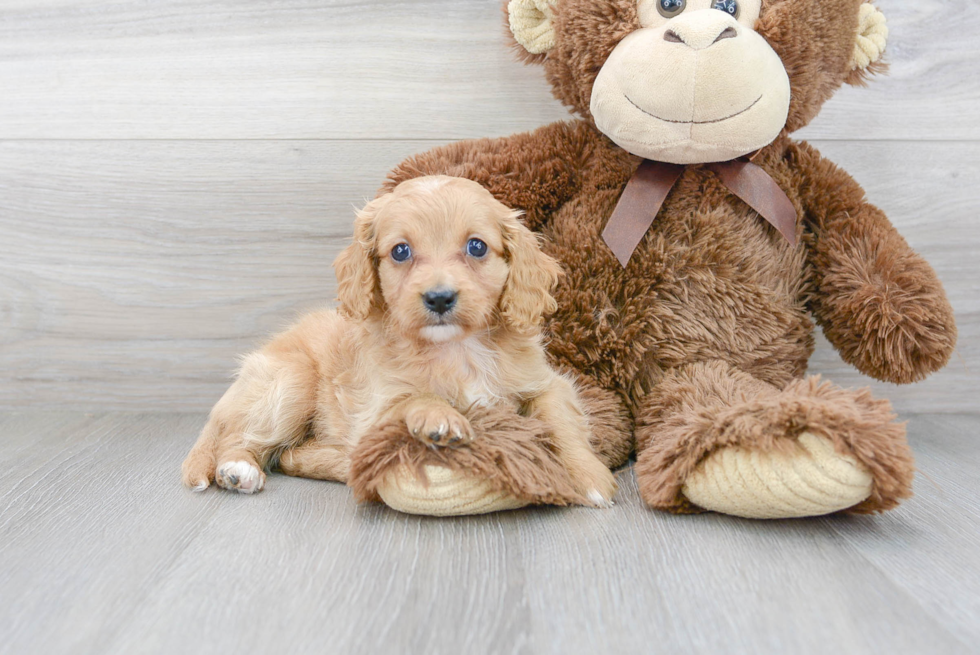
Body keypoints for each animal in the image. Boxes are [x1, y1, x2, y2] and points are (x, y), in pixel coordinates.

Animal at [180, 178, 616, 508]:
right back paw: (239, 469)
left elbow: (562, 422)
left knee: (290, 454)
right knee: (242, 438)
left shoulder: (544, 384)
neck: (458, 350)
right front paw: (439, 417)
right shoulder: (373, 410)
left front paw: (589, 476)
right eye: (401, 251)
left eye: (476, 246)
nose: (439, 298)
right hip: (290, 381)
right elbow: (413, 398)